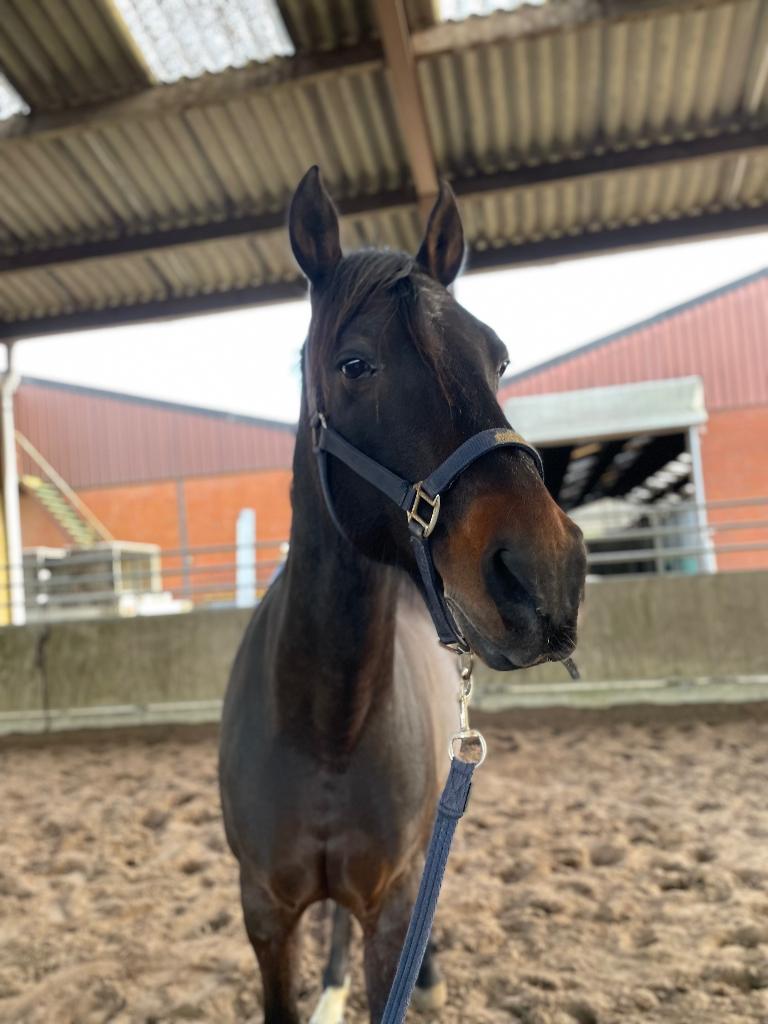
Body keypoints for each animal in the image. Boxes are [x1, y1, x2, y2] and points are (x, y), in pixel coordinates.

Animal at [219, 167, 587, 1023]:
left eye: (498, 357)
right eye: (356, 365)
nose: (546, 571)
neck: (325, 725)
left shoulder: (389, 906)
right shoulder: (265, 914)